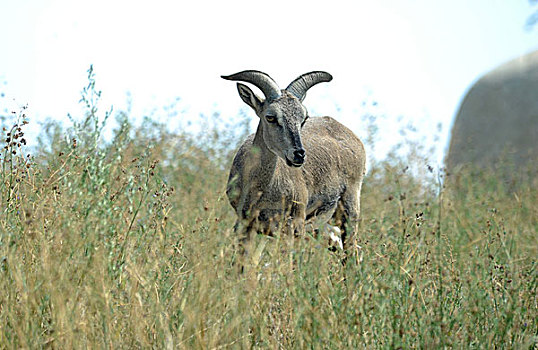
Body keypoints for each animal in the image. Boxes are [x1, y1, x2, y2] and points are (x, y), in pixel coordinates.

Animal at [221, 71, 364, 258]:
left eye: (303, 118)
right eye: (270, 117)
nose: (299, 154)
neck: (260, 189)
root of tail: (354, 138)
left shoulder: (294, 226)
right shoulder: (246, 225)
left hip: (349, 206)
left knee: (352, 249)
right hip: (320, 224)